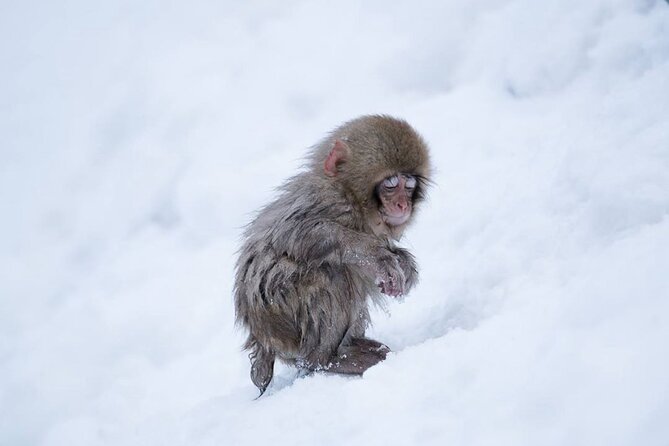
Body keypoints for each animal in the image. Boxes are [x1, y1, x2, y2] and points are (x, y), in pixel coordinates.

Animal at [234, 115, 431, 396]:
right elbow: (295, 233)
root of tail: (261, 338)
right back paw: (325, 359)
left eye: (410, 185)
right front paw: (376, 256)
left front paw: (405, 264)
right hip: (278, 311)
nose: (403, 205)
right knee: (330, 272)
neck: (353, 196)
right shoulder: (329, 201)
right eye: (391, 185)